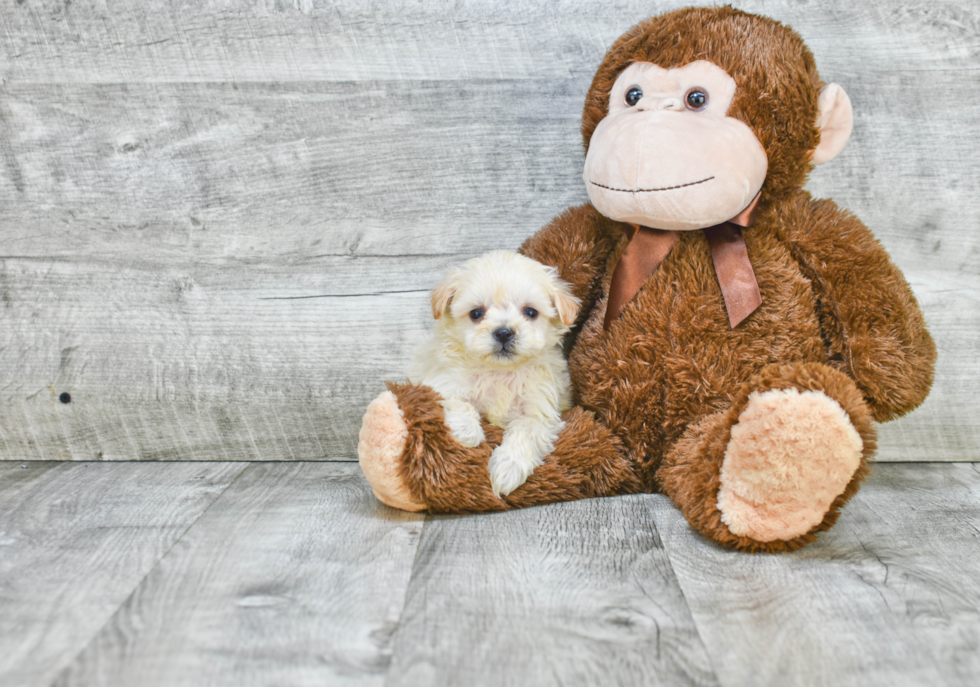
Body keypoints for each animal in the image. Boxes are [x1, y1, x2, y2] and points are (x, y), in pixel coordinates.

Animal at [408, 250, 580, 498]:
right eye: (476, 313)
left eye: (530, 312)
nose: (504, 332)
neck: (500, 371)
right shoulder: (442, 381)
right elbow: (455, 401)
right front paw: (467, 431)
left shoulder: (539, 409)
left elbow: (525, 434)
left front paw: (507, 469)